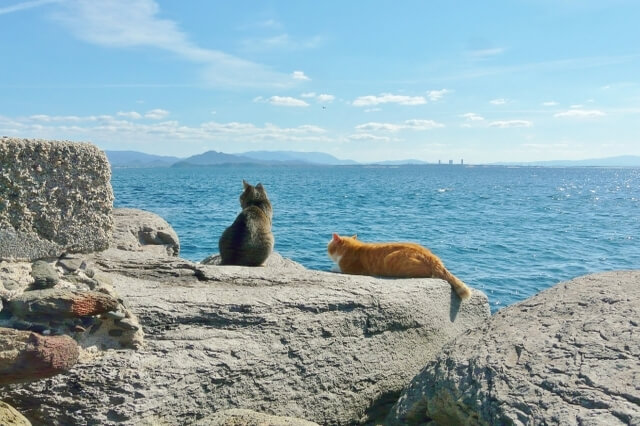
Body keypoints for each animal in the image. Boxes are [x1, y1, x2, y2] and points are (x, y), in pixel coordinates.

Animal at [328, 235, 472, 302]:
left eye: (329, 247)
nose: (327, 251)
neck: (353, 248)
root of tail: (433, 258)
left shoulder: (350, 269)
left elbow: (336, 268)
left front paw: (333, 267)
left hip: (391, 259)